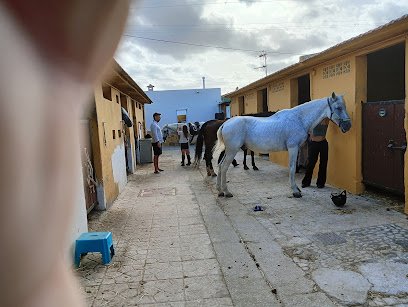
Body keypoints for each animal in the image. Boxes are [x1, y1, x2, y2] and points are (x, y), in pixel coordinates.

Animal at [214, 94, 350, 199]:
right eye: (338, 108)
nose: (348, 126)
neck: (299, 119)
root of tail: (225, 124)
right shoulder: (293, 147)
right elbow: (292, 168)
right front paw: (295, 191)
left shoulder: (296, 149)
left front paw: (297, 189)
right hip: (232, 150)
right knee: (224, 167)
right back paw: (226, 192)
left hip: (228, 150)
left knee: (220, 166)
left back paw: (220, 191)